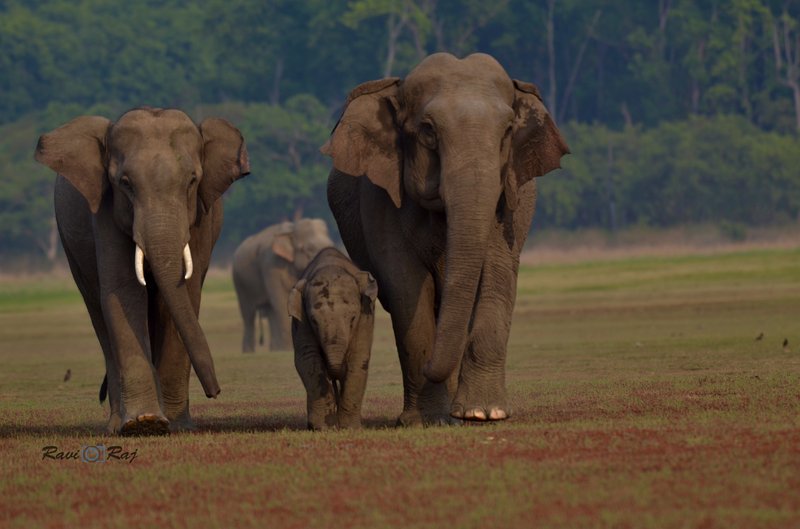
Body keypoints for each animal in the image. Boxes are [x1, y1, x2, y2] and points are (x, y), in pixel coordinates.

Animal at [34, 107, 249, 435]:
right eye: (125, 183)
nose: (215, 391)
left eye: (192, 181)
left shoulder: (202, 219)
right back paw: (116, 425)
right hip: (71, 249)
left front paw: (177, 426)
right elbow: (122, 291)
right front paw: (145, 423)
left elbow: (184, 294)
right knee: (98, 313)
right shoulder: (105, 211)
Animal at [231, 218, 333, 353]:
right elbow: (281, 300)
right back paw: (249, 352)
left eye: (331, 244)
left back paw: (274, 349)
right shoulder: (273, 265)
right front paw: (288, 349)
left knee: (270, 311)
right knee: (248, 314)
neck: (292, 229)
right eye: (309, 248)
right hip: (240, 281)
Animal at [288, 247, 378, 430]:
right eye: (314, 321)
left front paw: (350, 428)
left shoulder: (366, 315)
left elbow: (359, 358)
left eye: (352, 319)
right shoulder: (300, 320)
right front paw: (323, 428)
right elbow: (308, 359)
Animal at [323, 53, 569, 426]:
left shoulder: (509, 205)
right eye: (428, 130)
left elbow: (497, 273)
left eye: (508, 131)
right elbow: (406, 287)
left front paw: (484, 412)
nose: (429, 367)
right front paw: (429, 419)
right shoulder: (380, 196)